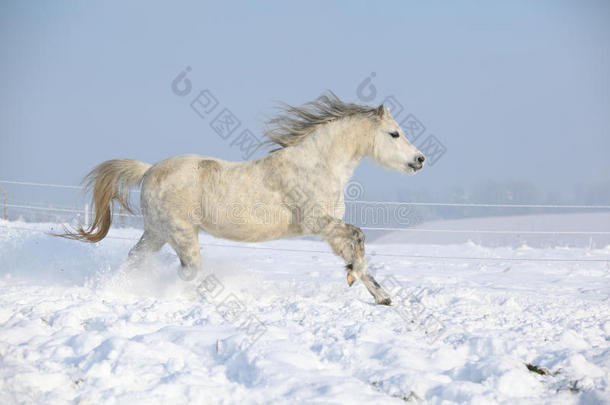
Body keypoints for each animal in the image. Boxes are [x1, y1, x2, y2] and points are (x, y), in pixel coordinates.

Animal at [60, 92, 422, 304]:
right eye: (394, 134)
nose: (420, 160)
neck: (316, 163)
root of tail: (149, 171)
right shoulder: (317, 223)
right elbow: (358, 236)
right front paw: (366, 283)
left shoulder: (328, 229)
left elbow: (354, 248)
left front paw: (377, 293)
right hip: (180, 233)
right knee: (188, 271)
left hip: (156, 233)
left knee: (135, 260)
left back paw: (116, 289)